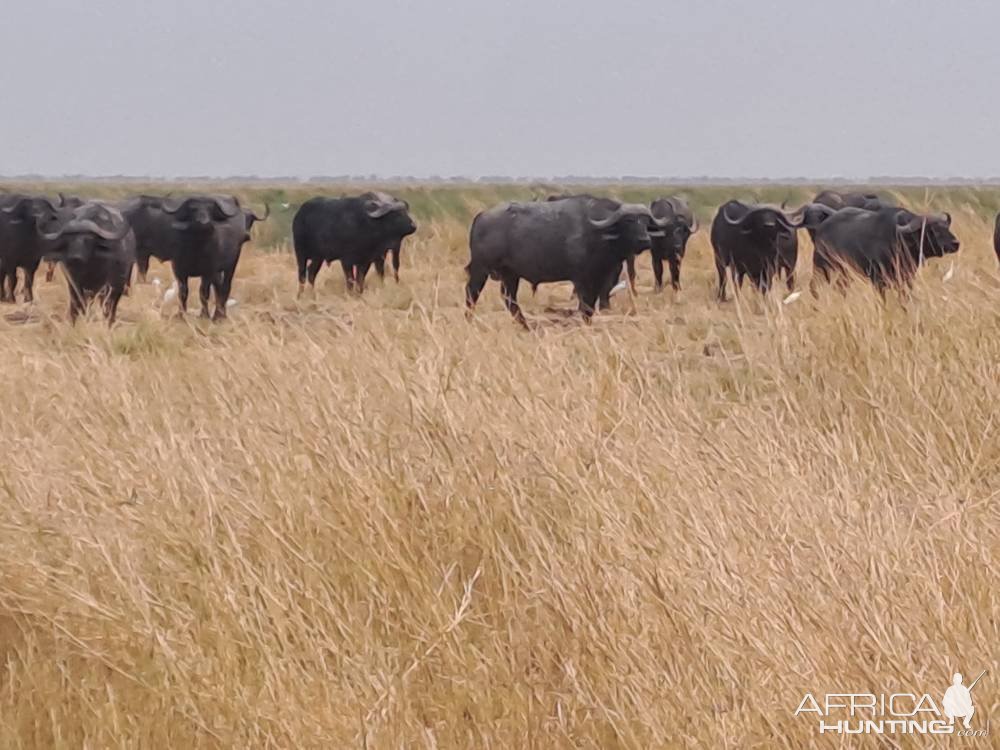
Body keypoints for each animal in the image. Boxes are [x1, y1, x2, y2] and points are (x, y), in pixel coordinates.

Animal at [464, 197, 660, 326]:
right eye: (629, 221)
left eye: (645, 222)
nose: (645, 240)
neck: (597, 233)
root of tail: (481, 216)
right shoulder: (581, 280)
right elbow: (585, 305)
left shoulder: (600, 279)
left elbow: (591, 305)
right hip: (481, 269)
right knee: (472, 292)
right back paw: (469, 319)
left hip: (510, 275)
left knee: (509, 299)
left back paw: (526, 326)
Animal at [812, 207, 960, 292]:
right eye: (933, 230)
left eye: (946, 227)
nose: (955, 243)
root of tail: (821, 228)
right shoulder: (878, 280)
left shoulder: (906, 278)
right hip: (821, 267)